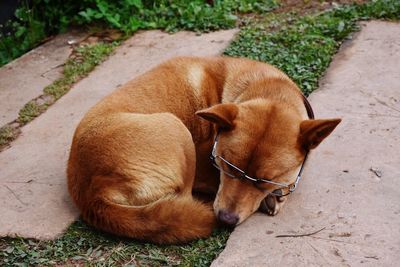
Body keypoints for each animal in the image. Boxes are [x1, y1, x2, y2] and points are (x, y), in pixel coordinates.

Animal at [66, 56, 340, 245]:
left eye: (263, 181)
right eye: (226, 166)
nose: (226, 220)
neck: (263, 85)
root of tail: (90, 194)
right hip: (175, 127)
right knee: (185, 199)